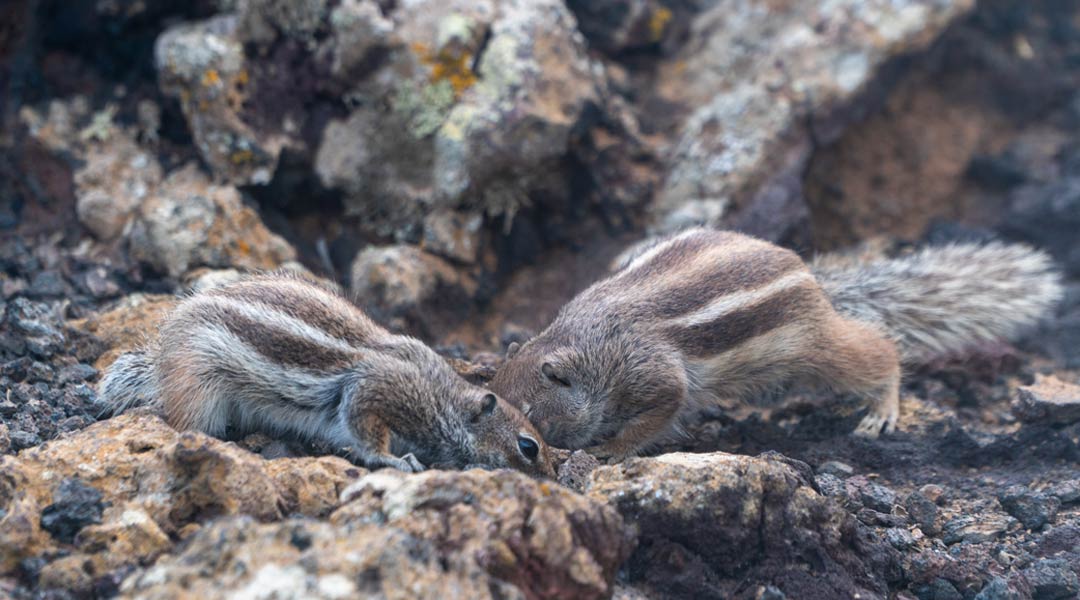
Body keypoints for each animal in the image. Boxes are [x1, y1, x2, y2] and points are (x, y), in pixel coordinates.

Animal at [98, 271, 557, 479]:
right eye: (528, 447)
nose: (554, 479)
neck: (442, 397)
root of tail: (161, 357)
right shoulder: (376, 392)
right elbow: (366, 431)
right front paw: (397, 460)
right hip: (200, 389)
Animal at [492, 228, 1062, 459]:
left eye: (531, 413)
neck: (590, 347)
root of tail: (813, 277)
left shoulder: (654, 375)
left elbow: (658, 415)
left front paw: (610, 449)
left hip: (815, 351)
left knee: (879, 352)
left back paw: (882, 408)